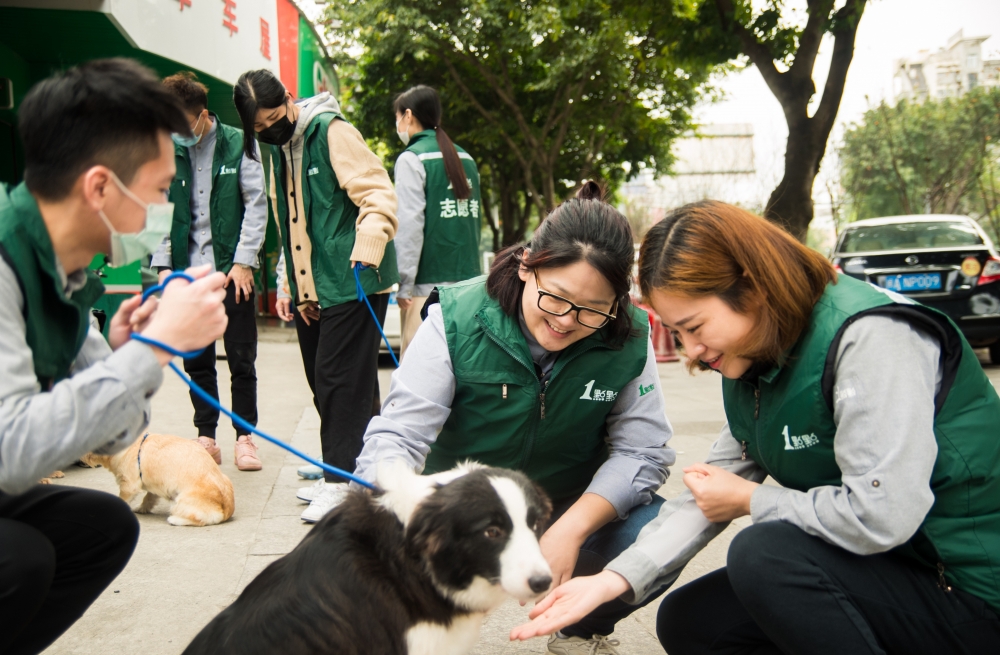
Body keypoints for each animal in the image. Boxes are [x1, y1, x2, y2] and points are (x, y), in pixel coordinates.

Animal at [83, 430, 235, 528]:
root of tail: (225, 509)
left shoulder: (128, 486)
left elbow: (123, 499)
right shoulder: (153, 487)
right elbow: (148, 498)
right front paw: (142, 508)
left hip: (178, 502)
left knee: (197, 520)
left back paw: (175, 520)